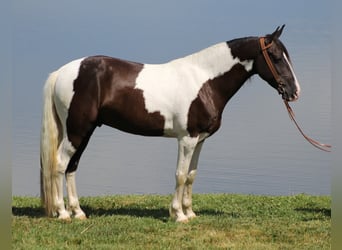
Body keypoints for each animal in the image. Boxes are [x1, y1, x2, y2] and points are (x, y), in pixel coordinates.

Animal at [40, 24, 300, 221]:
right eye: (276, 57)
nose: (295, 91)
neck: (205, 81)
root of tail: (61, 73)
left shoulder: (200, 140)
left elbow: (192, 175)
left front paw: (190, 212)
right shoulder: (187, 139)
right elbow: (180, 174)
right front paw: (178, 215)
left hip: (84, 131)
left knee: (72, 167)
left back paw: (78, 212)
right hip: (77, 130)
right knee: (60, 164)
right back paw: (63, 213)